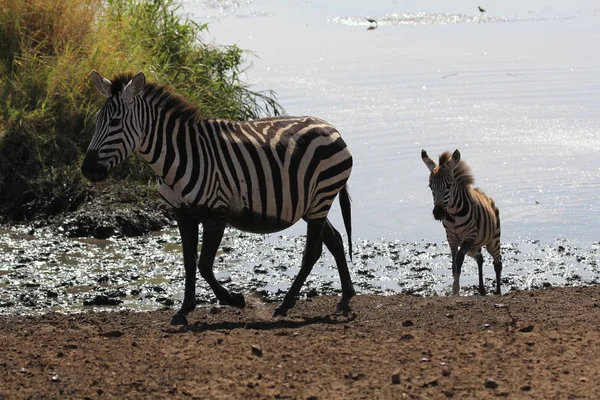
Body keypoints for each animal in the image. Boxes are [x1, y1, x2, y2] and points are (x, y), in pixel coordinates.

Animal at [81, 69, 354, 324]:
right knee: (335, 240)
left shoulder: (216, 214)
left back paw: (285, 305)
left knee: (312, 252)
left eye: (115, 122)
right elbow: (189, 262)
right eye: (96, 120)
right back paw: (345, 297)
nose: (87, 170)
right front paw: (184, 310)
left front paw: (233, 299)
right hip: (310, 204)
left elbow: (204, 265)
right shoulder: (182, 212)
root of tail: (330, 128)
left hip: (321, 197)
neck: (179, 156)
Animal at [422, 148, 502, 296]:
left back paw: (498, 292)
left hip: (492, 241)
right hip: (473, 247)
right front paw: (455, 288)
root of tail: (488, 198)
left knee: (497, 263)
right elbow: (454, 264)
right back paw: (482, 290)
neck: (453, 214)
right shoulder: (451, 238)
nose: (438, 213)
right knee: (480, 258)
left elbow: (459, 259)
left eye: (448, 185)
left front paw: (456, 289)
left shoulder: (470, 236)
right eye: (430, 186)